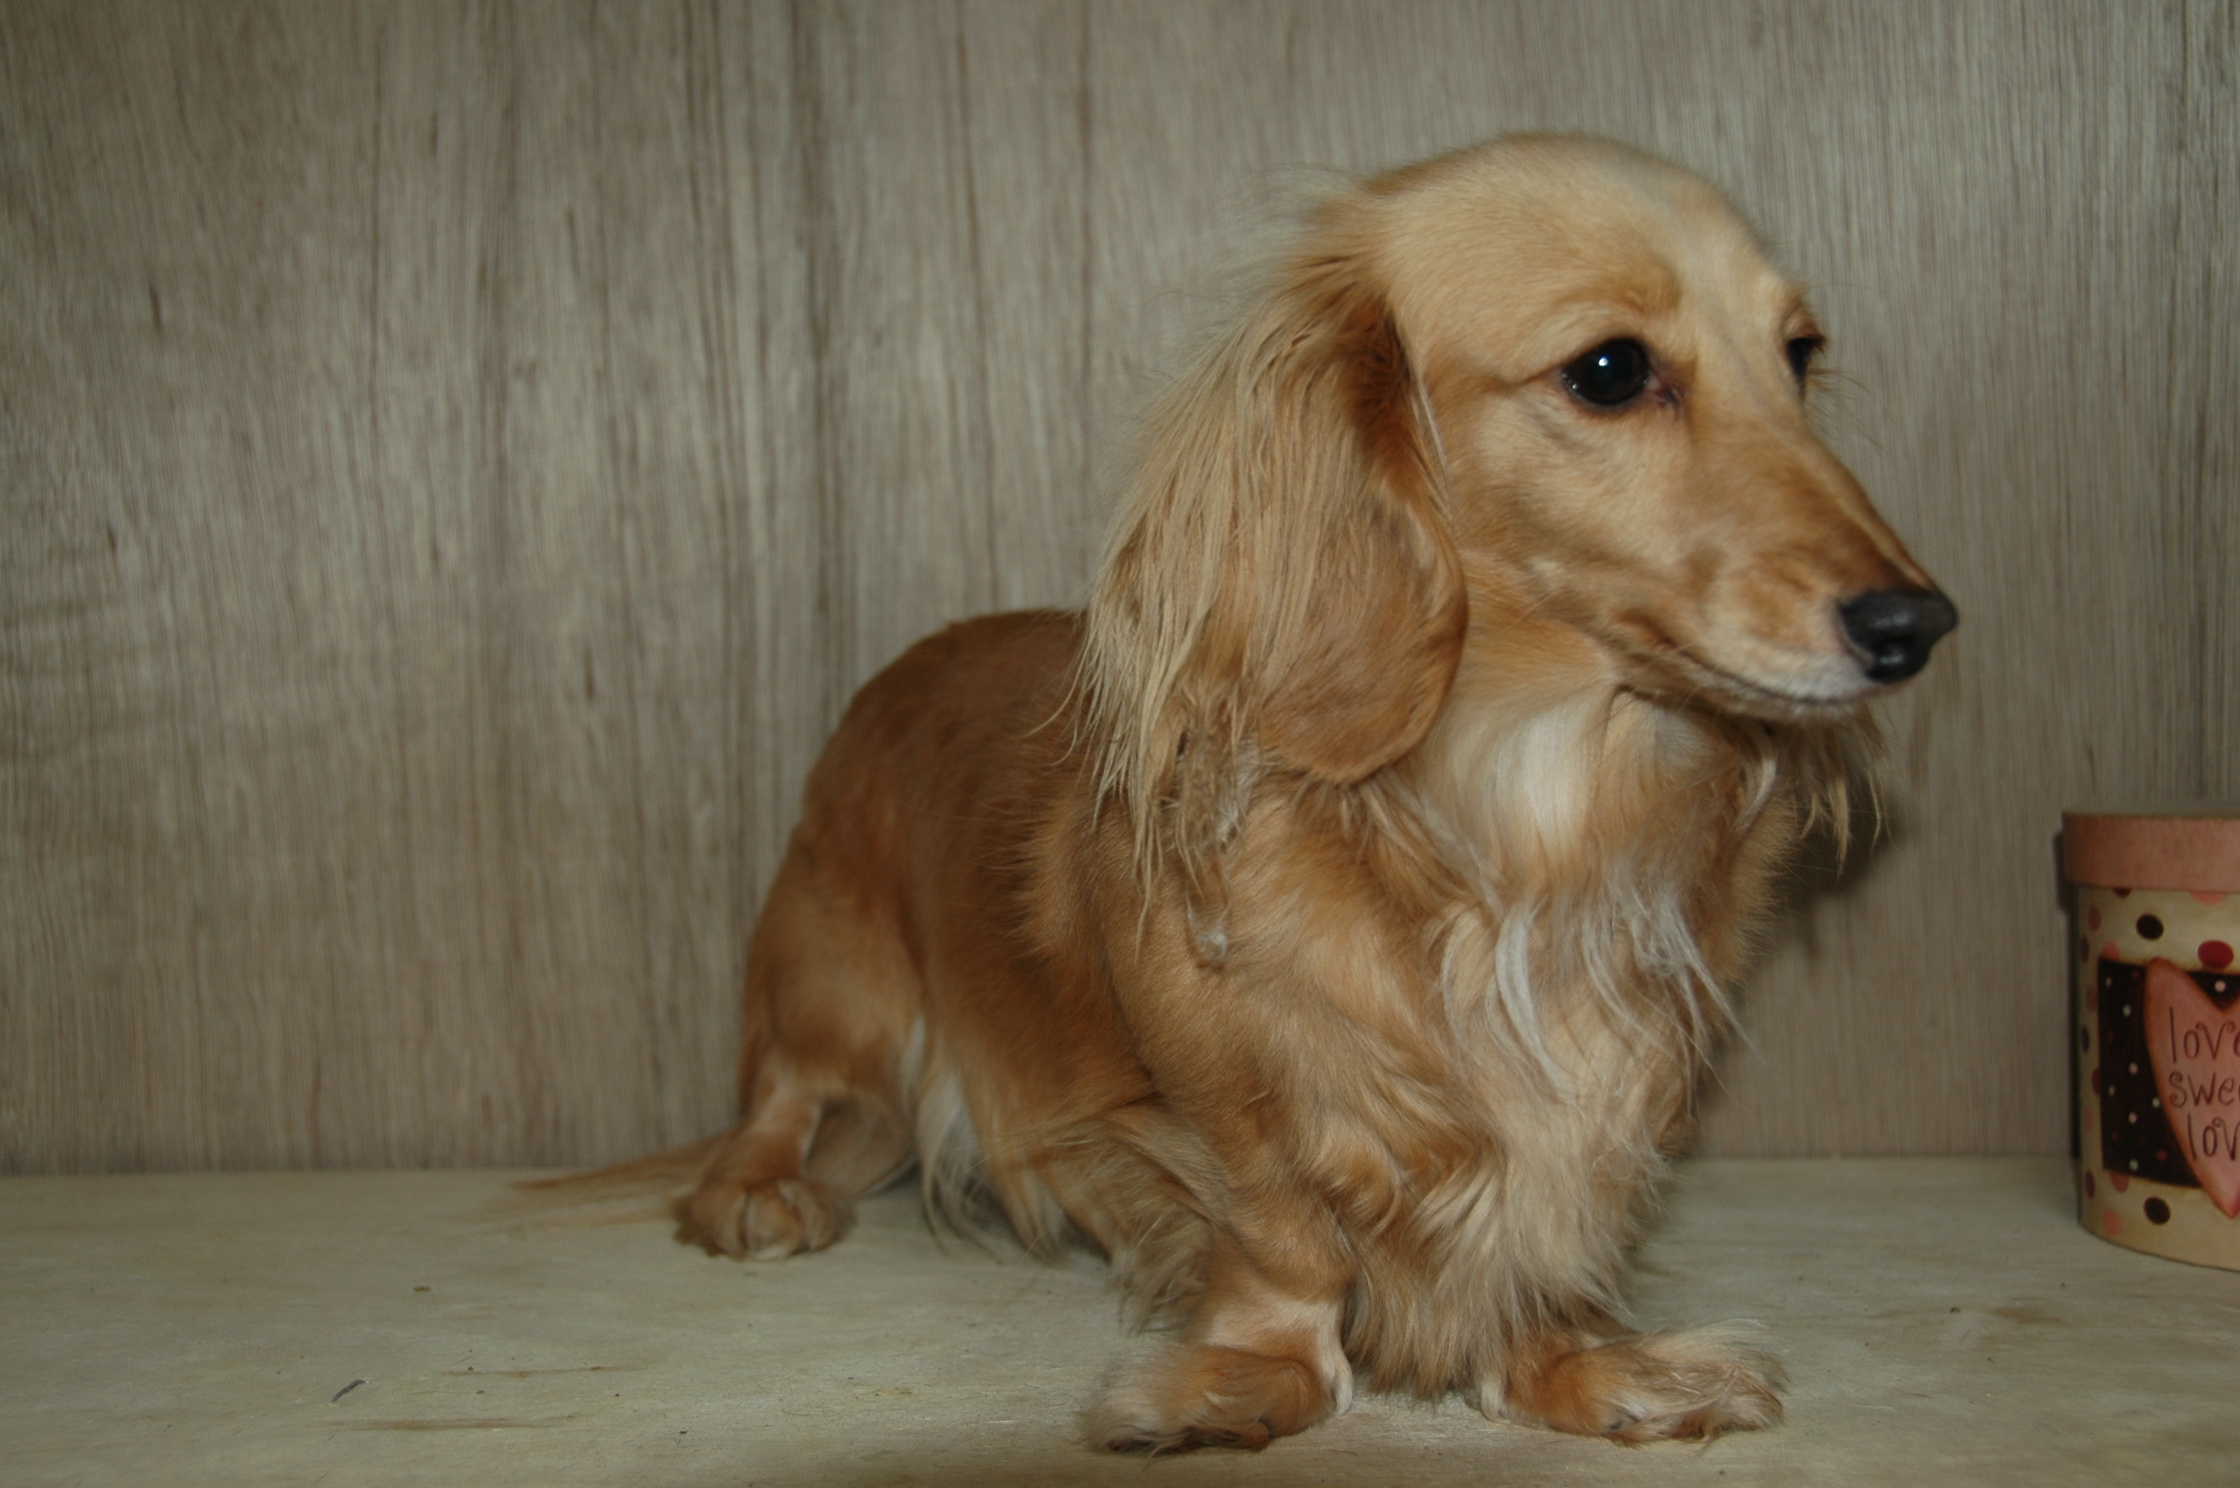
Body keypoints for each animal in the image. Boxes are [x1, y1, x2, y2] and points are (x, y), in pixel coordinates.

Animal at [672, 136, 1953, 1443]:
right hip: (838, 993)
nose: (1916, 624)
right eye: (1608, 370)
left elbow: (1553, 1224)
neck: (1512, 817)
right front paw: (1251, 1375)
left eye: (1798, 353)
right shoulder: (1225, 1089)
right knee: (780, 1097)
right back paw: (757, 1192)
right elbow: (1281, 1236)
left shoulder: (1614, 1076)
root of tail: (894, 673)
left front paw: (1579, 1362)